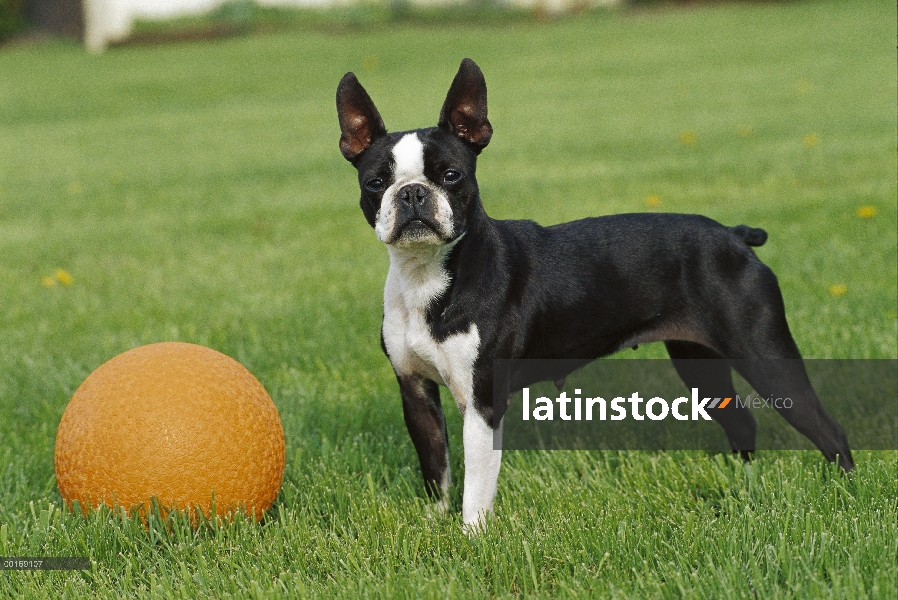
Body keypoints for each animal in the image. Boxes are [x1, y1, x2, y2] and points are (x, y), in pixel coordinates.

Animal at [334, 58, 848, 528]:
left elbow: (476, 485)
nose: (412, 193)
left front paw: (471, 537)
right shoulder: (415, 392)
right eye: (376, 182)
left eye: (451, 175)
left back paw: (842, 491)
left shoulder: (482, 402)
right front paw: (435, 521)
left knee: (827, 427)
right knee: (741, 419)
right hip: (697, 359)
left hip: (764, 354)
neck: (428, 275)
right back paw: (742, 481)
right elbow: (436, 469)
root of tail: (735, 236)